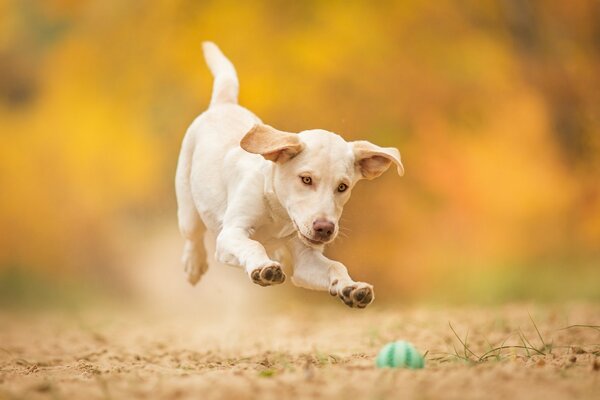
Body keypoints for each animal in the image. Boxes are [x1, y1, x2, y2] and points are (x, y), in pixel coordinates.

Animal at [176, 42, 406, 308]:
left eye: (342, 187)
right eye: (306, 179)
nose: (325, 229)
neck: (279, 214)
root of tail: (224, 104)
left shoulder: (305, 258)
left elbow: (335, 266)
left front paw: (351, 288)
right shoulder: (230, 234)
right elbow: (253, 245)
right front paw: (263, 268)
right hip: (188, 208)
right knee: (193, 236)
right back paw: (193, 264)